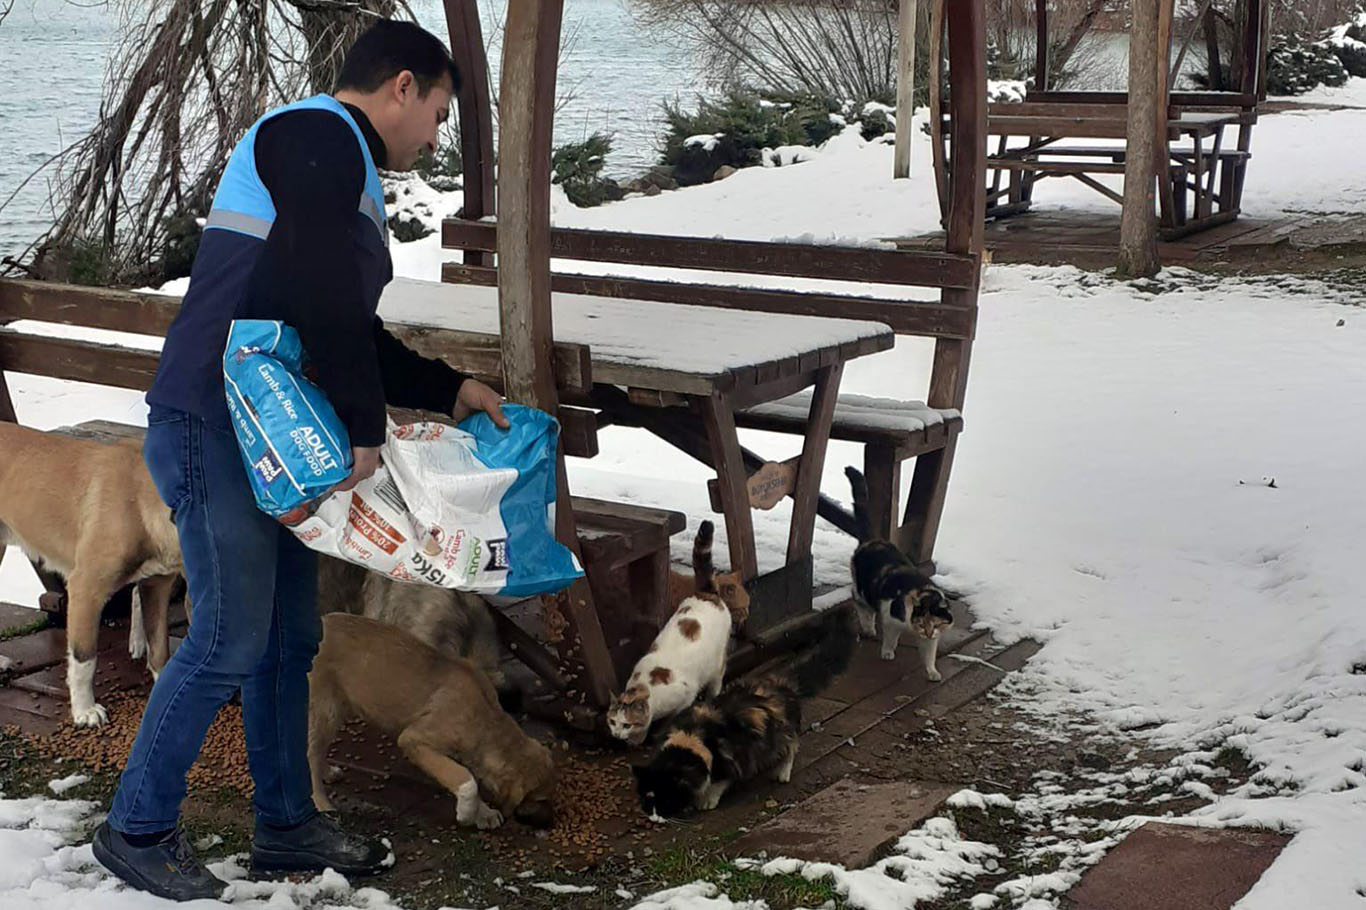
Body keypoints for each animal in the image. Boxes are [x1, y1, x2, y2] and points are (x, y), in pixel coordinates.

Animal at [307, 609, 551, 830]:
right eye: (538, 799)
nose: (549, 824)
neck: (486, 719)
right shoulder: (413, 740)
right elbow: (466, 780)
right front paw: (467, 814)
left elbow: (465, 776)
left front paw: (483, 813)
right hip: (323, 711)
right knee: (311, 756)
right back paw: (322, 804)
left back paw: (327, 773)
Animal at [609, 516, 748, 743]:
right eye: (613, 722)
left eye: (627, 724)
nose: (616, 735)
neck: (646, 686)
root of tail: (706, 593)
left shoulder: (685, 696)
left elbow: (671, 717)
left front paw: (657, 732)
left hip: (716, 666)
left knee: (716, 682)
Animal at [631, 606, 852, 808]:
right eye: (647, 794)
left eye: (666, 795)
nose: (652, 814)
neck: (693, 737)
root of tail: (785, 684)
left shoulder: (736, 759)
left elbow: (720, 782)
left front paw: (707, 800)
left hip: (784, 732)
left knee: (790, 748)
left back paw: (782, 773)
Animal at [841, 464, 950, 677]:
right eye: (922, 623)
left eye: (935, 624)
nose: (927, 633)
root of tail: (871, 541)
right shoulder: (890, 617)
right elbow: (891, 639)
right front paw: (887, 653)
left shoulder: (932, 639)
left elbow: (930, 655)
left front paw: (932, 672)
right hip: (862, 590)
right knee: (860, 605)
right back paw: (869, 628)